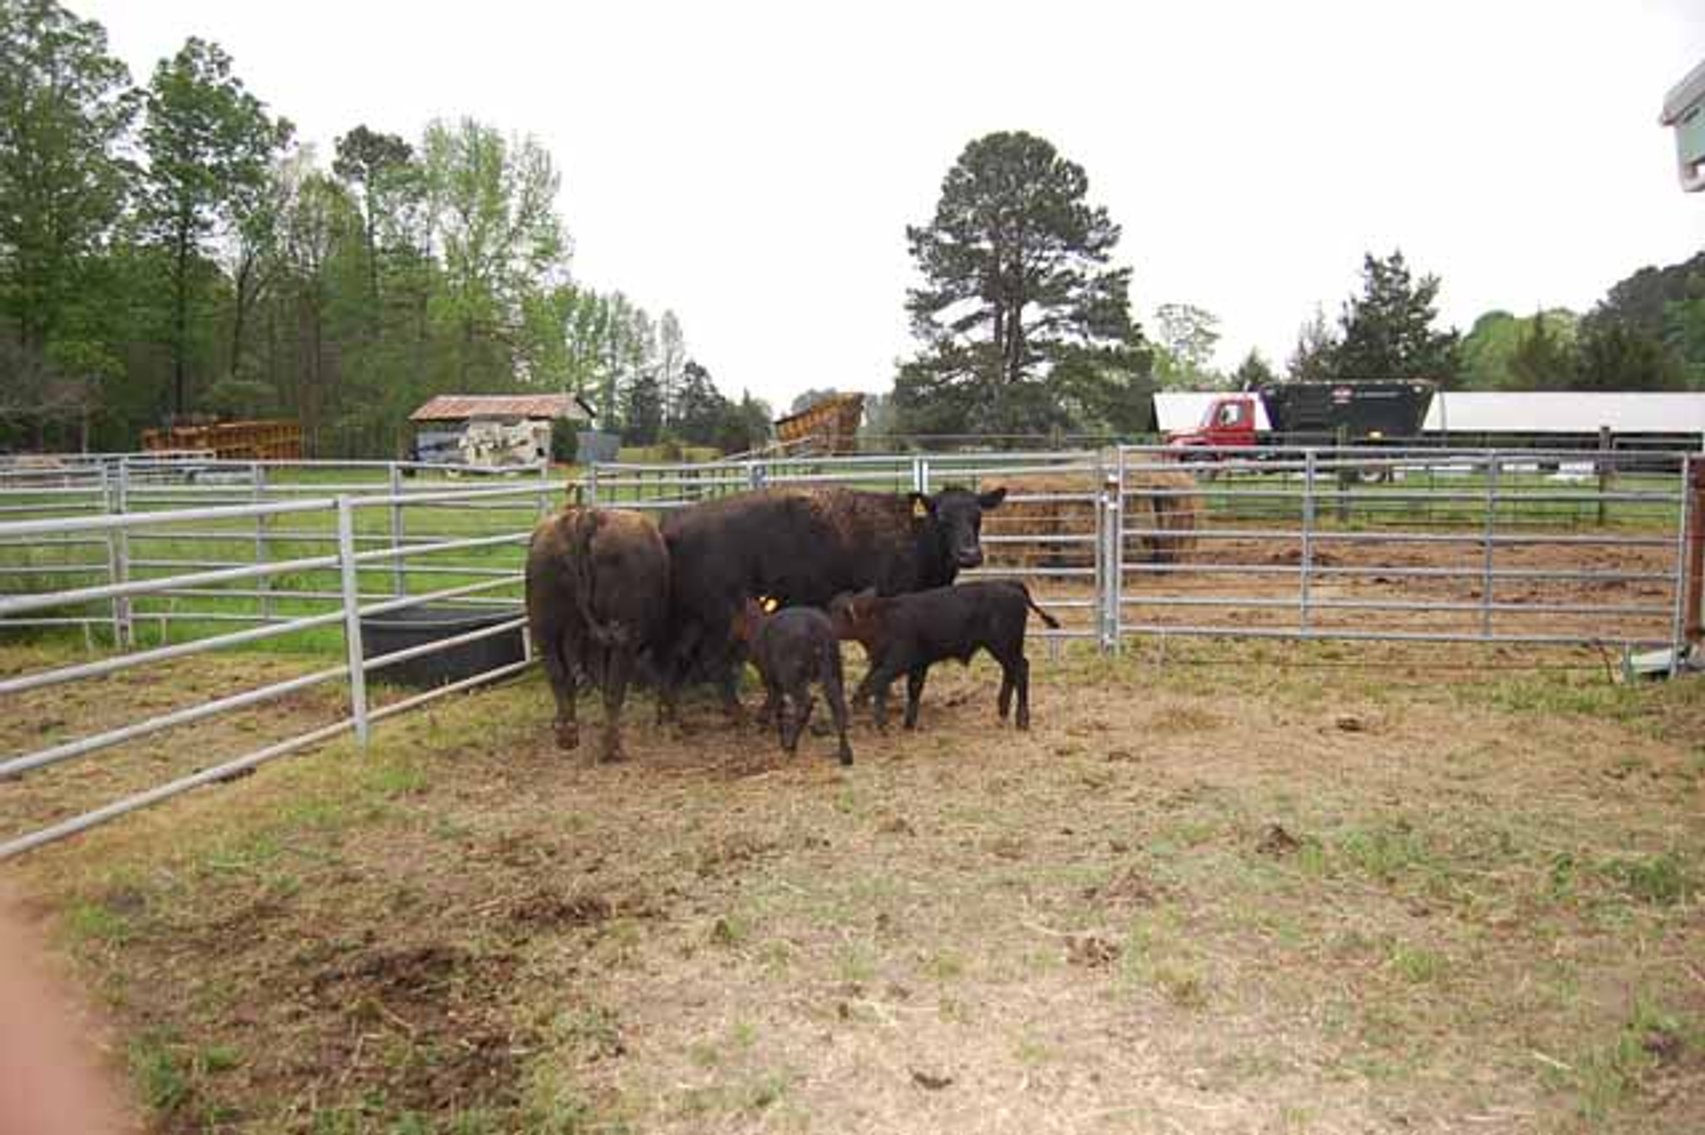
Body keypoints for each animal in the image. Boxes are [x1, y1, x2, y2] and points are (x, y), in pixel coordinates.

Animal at [524, 507, 669, 761]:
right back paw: (612, 748)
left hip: (545, 629)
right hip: (623, 635)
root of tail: (587, 516)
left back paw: (567, 736)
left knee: (559, 677)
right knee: (614, 688)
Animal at [657, 485, 1007, 720]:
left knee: (679, 657)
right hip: (720, 618)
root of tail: (675, 524)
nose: (969, 554)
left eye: (978, 516)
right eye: (943, 518)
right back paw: (737, 711)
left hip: (694, 619)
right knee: (712, 661)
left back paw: (673, 715)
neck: (913, 536)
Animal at [732, 598, 854, 765]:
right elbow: (778, 705)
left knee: (805, 704)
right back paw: (845, 754)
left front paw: (771, 730)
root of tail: (818, 629)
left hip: (792, 674)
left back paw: (791, 746)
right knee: (839, 706)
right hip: (833, 667)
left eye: (739, 617)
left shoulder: (770, 677)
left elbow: (777, 705)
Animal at [827, 580, 1059, 732]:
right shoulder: (907, 664)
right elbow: (909, 689)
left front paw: (872, 716)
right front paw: (907, 724)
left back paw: (1022, 720)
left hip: (1006, 645)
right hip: (1003, 648)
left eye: (837, 614)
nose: (823, 624)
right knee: (1010, 671)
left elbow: (875, 683)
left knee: (1021, 670)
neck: (884, 620)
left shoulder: (898, 662)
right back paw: (1002, 710)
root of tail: (1011, 585)